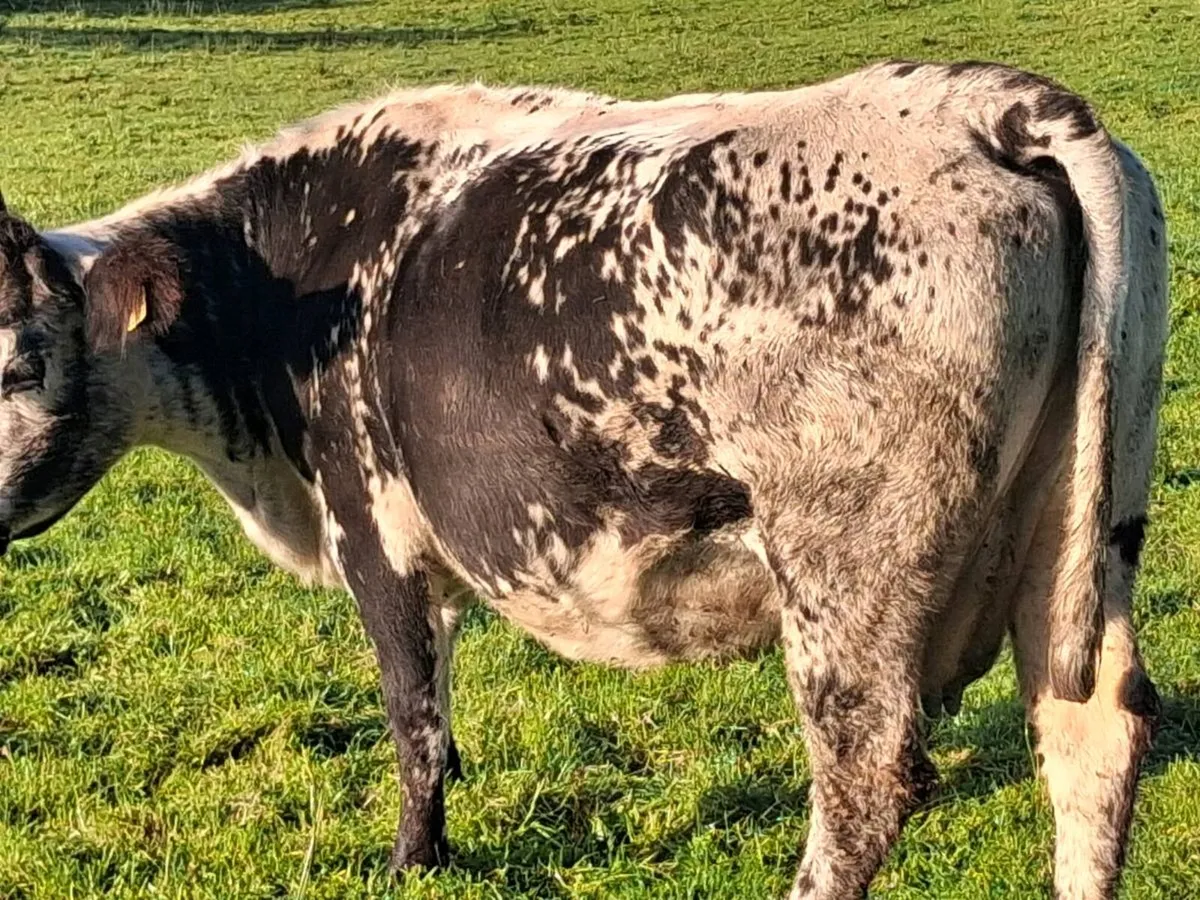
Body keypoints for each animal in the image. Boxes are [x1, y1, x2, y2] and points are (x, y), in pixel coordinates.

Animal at [0, 59, 1169, 899]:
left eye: (18, 362)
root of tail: (986, 103)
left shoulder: (373, 528)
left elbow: (413, 718)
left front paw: (412, 863)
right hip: (1084, 526)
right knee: (1094, 733)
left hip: (847, 570)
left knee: (866, 777)